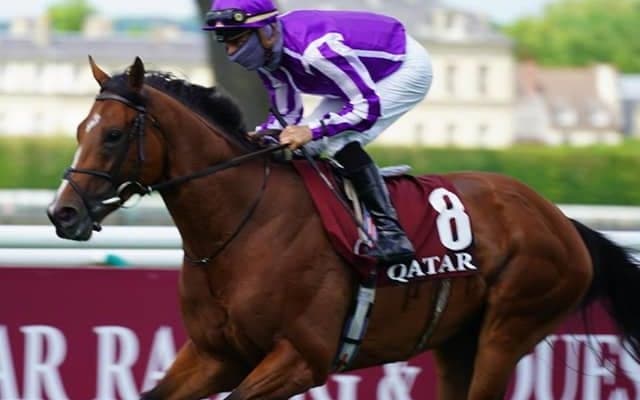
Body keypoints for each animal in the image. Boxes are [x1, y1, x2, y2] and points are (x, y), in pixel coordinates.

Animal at [47, 56, 640, 400]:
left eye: (115, 135)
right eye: (79, 129)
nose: (62, 213)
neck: (241, 229)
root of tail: (561, 220)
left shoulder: (301, 358)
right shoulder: (216, 354)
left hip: (509, 329)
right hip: (458, 342)